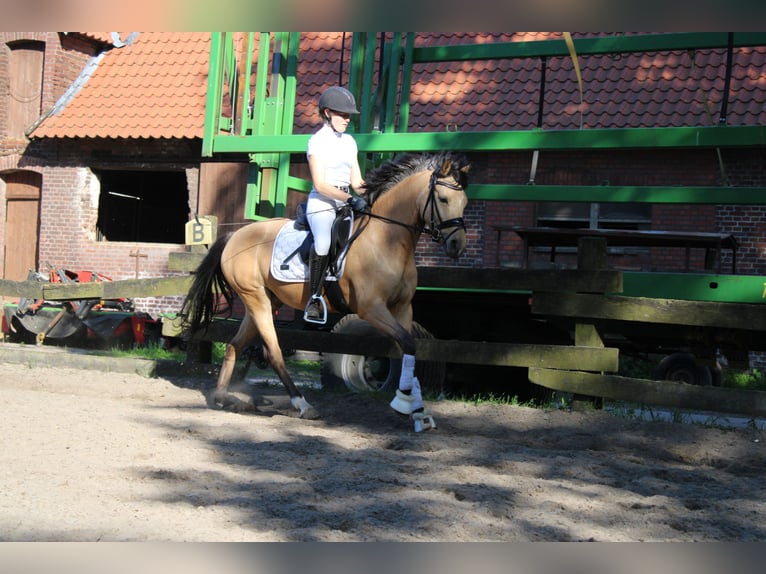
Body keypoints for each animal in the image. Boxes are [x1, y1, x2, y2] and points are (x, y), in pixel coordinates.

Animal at [183, 153, 472, 432]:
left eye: (465, 202)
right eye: (444, 199)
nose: (457, 246)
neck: (387, 240)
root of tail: (234, 235)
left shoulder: (402, 307)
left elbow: (409, 347)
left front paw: (418, 411)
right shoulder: (371, 308)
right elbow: (407, 343)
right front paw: (404, 404)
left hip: (266, 301)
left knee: (234, 344)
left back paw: (225, 398)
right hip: (257, 301)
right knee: (273, 352)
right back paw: (302, 404)